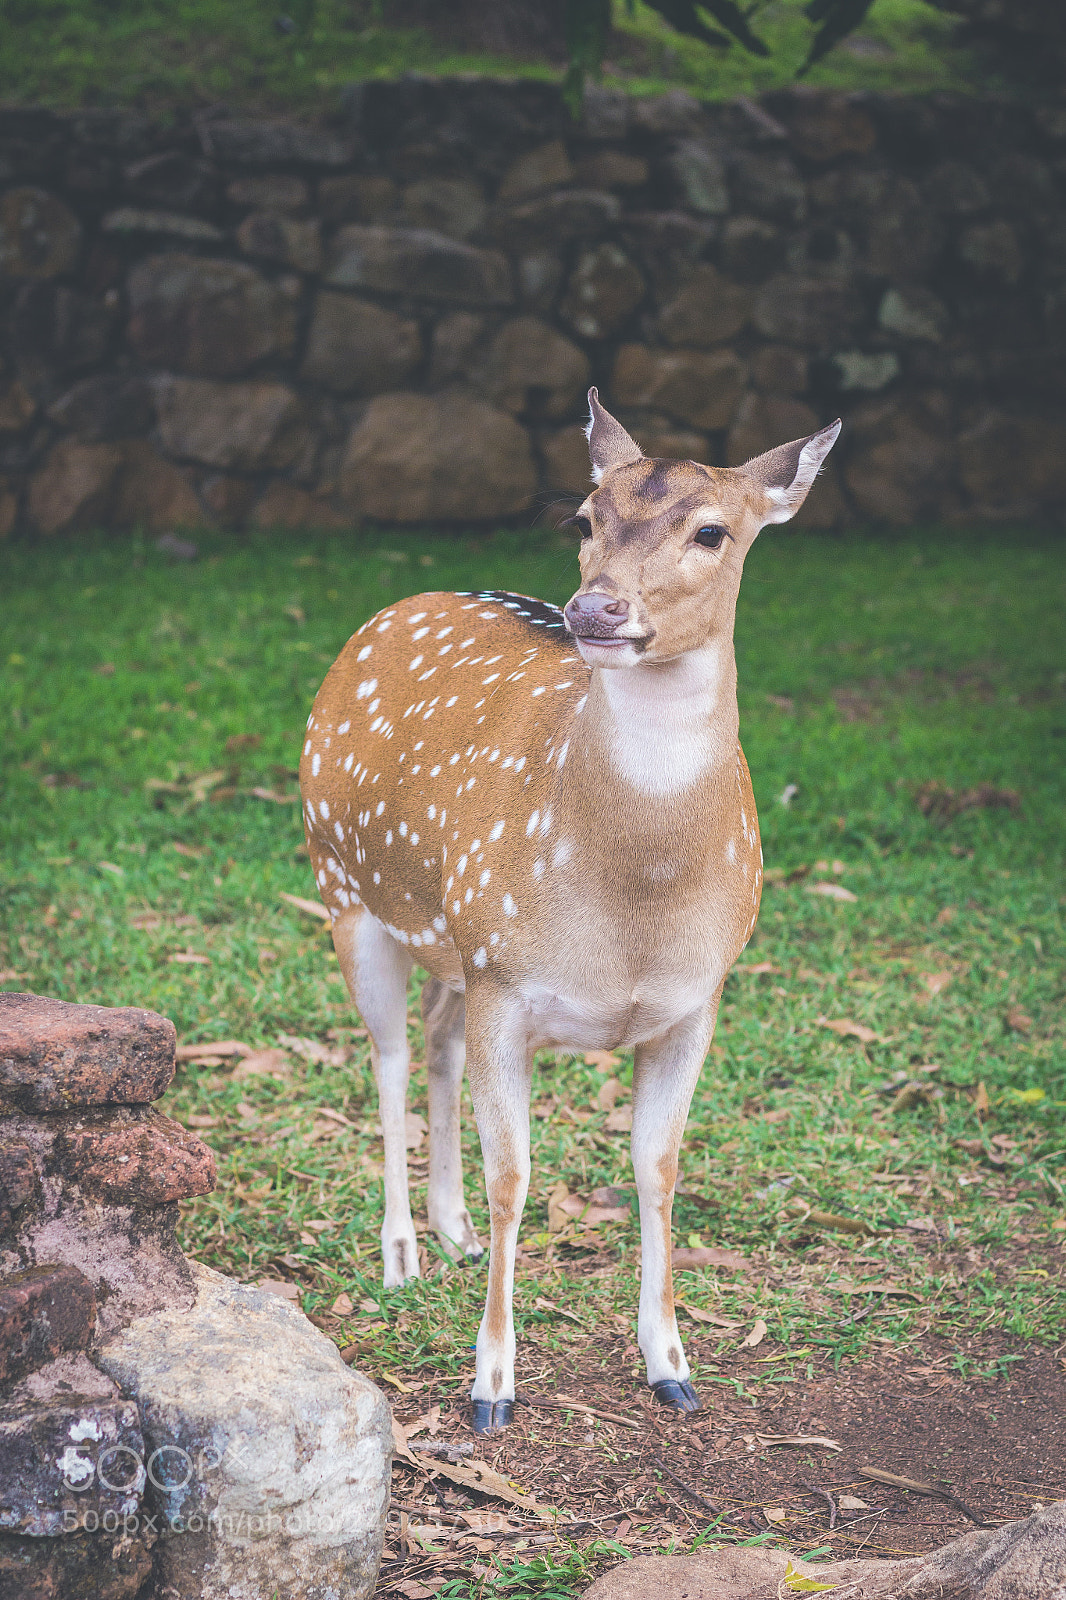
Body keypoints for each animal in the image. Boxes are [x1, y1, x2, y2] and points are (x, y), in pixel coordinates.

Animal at [300, 390, 840, 1433]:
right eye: (584, 520)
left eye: (712, 531)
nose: (594, 608)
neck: (632, 906)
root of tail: (398, 606)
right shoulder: (507, 980)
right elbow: (515, 1178)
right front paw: (490, 1387)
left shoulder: (695, 998)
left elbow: (657, 1170)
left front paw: (672, 1365)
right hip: (346, 887)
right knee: (387, 1057)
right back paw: (401, 1254)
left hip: (453, 941)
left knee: (436, 1042)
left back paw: (452, 1229)